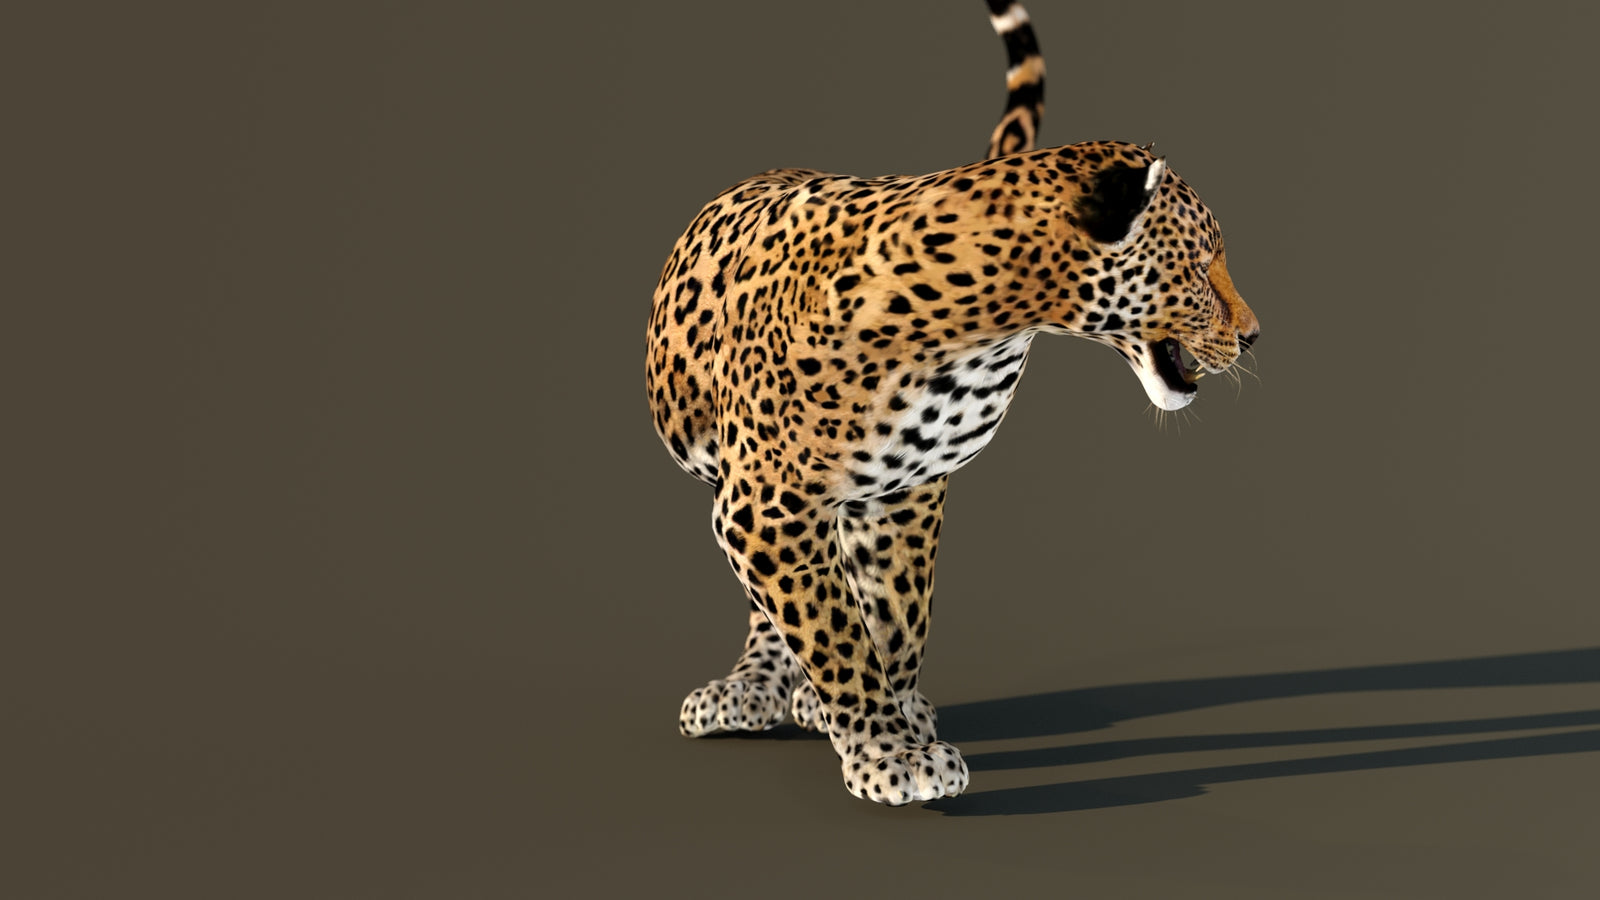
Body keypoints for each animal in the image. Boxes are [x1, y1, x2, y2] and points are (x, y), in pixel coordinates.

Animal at [645, 0, 1261, 806]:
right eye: (1198, 264)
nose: (1255, 335)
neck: (985, 324)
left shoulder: (906, 491)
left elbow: (897, 611)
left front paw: (898, 719)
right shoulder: (767, 506)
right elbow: (833, 632)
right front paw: (886, 753)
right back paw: (752, 687)